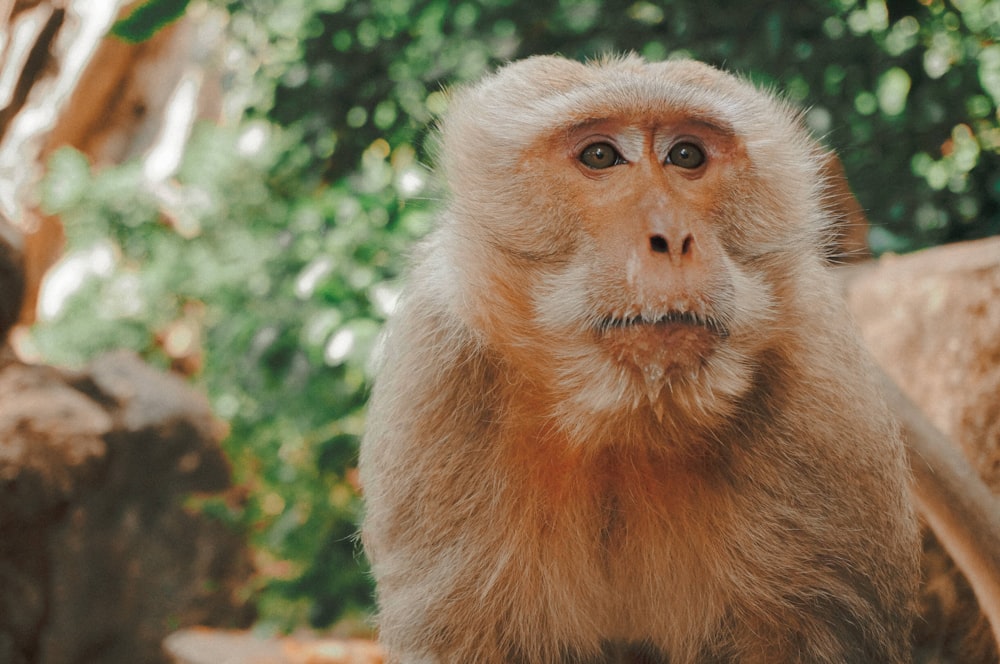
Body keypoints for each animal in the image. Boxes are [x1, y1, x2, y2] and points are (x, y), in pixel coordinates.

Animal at [362, 54, 920, 660]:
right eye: (601, 155)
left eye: (686, 155)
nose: (671, 237)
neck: (627, 421)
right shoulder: (438, 378)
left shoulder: (825, 399)